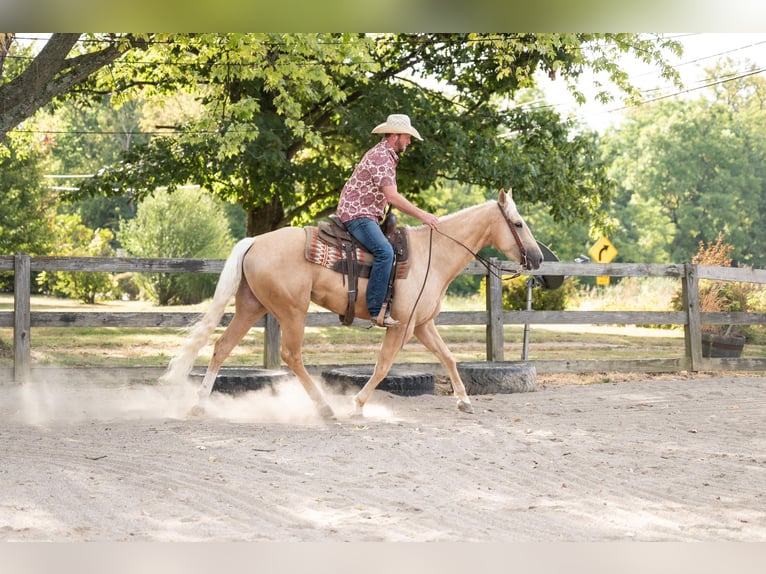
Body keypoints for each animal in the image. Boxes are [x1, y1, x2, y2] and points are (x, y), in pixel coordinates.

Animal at [164, 189, 544, 418]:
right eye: (518, 223)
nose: (538, 258)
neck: (432, 255)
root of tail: (255, 241)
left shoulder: (422, 324)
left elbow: (448, 357)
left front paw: (464, 400)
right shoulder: (402, 326)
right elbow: (383, 366)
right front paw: (358, 404)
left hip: (251, 306)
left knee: (222, 347)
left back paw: (199, 406)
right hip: (292, 311)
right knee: (291, 355)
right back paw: (324, 408)